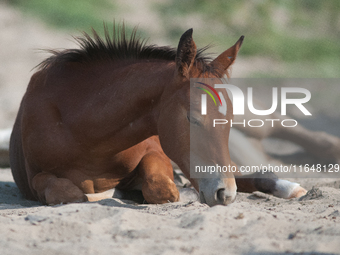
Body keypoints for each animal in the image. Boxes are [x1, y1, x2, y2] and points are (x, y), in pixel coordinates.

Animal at [9, 25, 306, 207]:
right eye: (192, 117)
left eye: (230, 121)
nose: (225, 193)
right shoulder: (36, 176)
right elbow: (68, 192)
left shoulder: (158, 154)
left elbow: (163, 188)